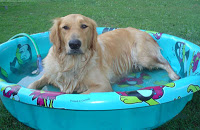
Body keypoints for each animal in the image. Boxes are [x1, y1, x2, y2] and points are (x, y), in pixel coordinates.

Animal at [27, 13, 180, 93]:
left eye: (84, 26)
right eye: (65, 27)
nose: (74, 44)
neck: (72, 62)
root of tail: (146, 33)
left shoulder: (103, 85)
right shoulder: (50, 73)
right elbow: (34, 83)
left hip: (142, 56)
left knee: (165, 62)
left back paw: (174, 75)